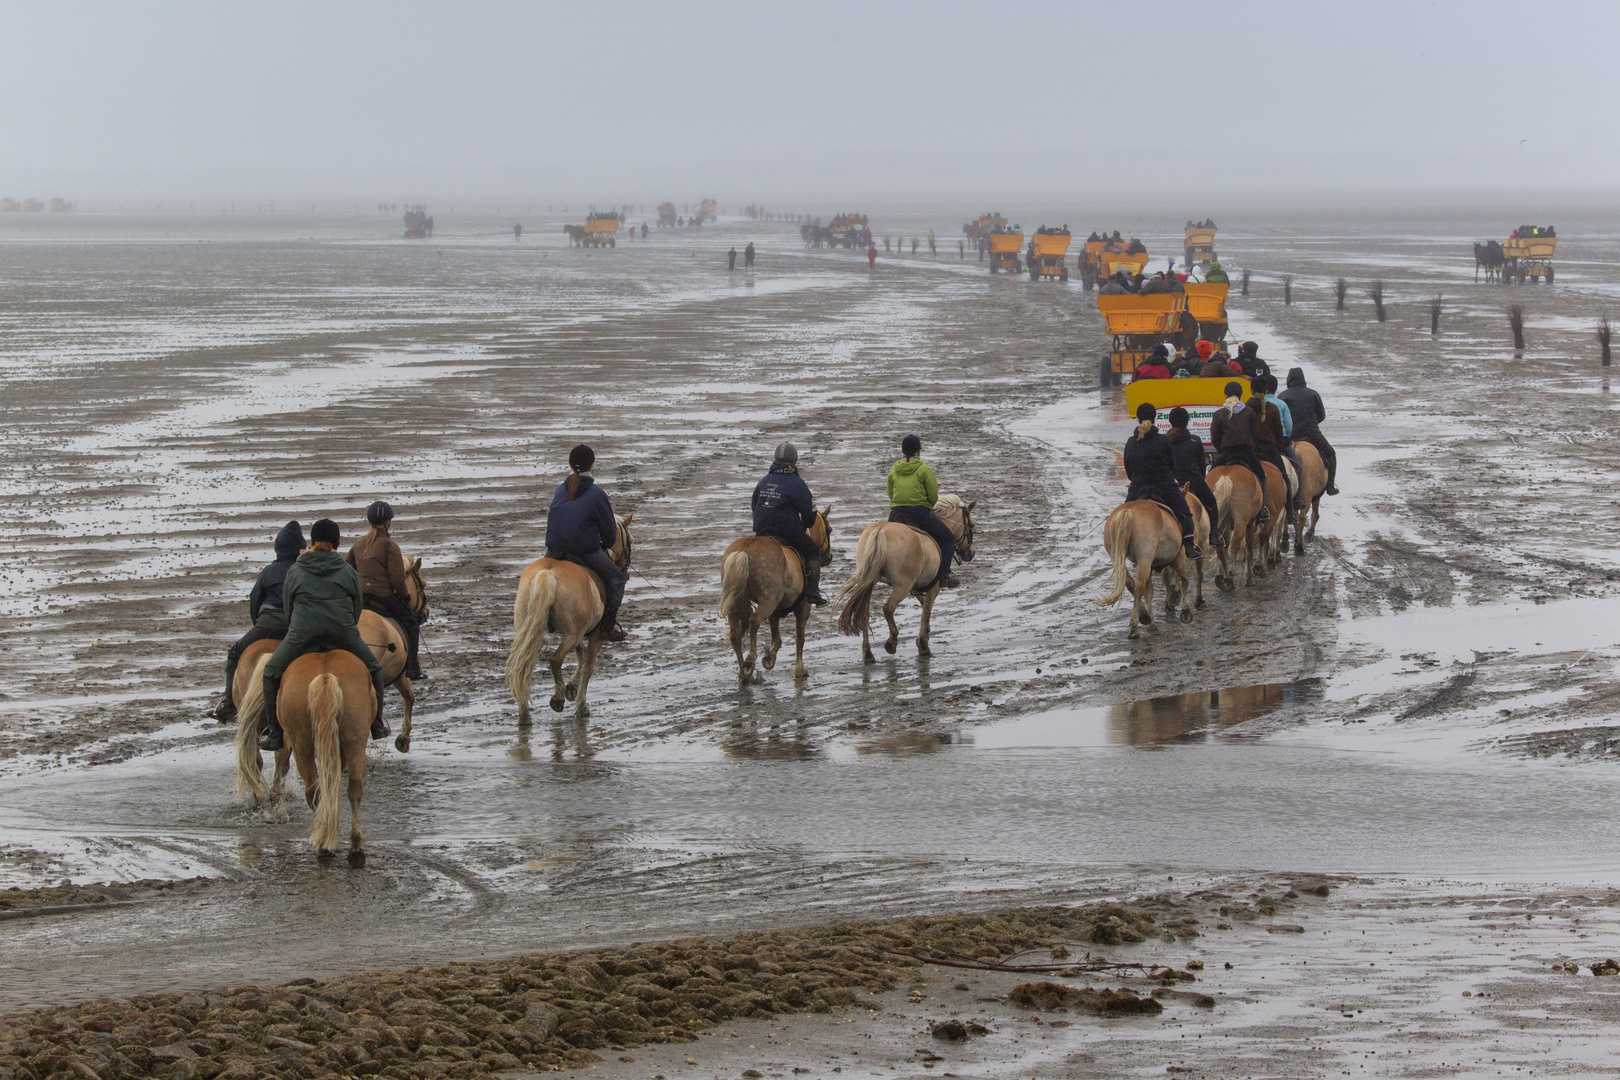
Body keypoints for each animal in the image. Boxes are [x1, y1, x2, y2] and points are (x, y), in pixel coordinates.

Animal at [233, 647, 374, 867]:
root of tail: (325, 676)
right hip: (354, 743)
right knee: (352, 789)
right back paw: (352, 848)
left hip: (302, 745)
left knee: (311, 788)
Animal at [505, 518, 631, 722]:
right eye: (631, 540)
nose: (626, 570)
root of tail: (548, 573)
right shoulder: (595, 636)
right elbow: (588, 666)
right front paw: (581, 705)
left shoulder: (578, 632)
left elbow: (580, 653)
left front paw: (572, 687)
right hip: (572, 633)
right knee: (555, 659)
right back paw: (557, 699)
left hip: (531, 627)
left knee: (522, 665)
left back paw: (524, 714)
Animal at [719, 508, 835, 680]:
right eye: (829, 530)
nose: (829, 557)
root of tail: (744, 549)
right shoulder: (803, 607)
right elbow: (800, 637)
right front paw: (799, 669)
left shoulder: (775, 611)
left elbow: (777, 639)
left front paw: (769, 657)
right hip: (768, 600)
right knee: (754, 621)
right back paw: (750, 659)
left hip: (736, 602)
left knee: (735, 634)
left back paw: (744, 672)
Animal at [835, 495, 972, 663]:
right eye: (971, 525)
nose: (970, 554)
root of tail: (880, 530)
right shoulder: (932, 587)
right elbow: (926, 611)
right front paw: (923, 646)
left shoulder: (917, 586)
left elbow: (924, 606)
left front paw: (925, 634)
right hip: (902, 586)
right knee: (888, 608)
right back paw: (891, 642)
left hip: (869, 581)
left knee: (863, 613)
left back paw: (868, 654)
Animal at [1095, 501, 1198, 641]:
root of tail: (1128, 510)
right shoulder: (1179, 559)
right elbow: (1184, 581)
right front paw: (1186, 611)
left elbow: (1149, 592)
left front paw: (1151, 623)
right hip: (1145, 559)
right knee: (1139, 587)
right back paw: (1134, 628)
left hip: (1117, 557)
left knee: (1130, 583)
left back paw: (1144, 616)